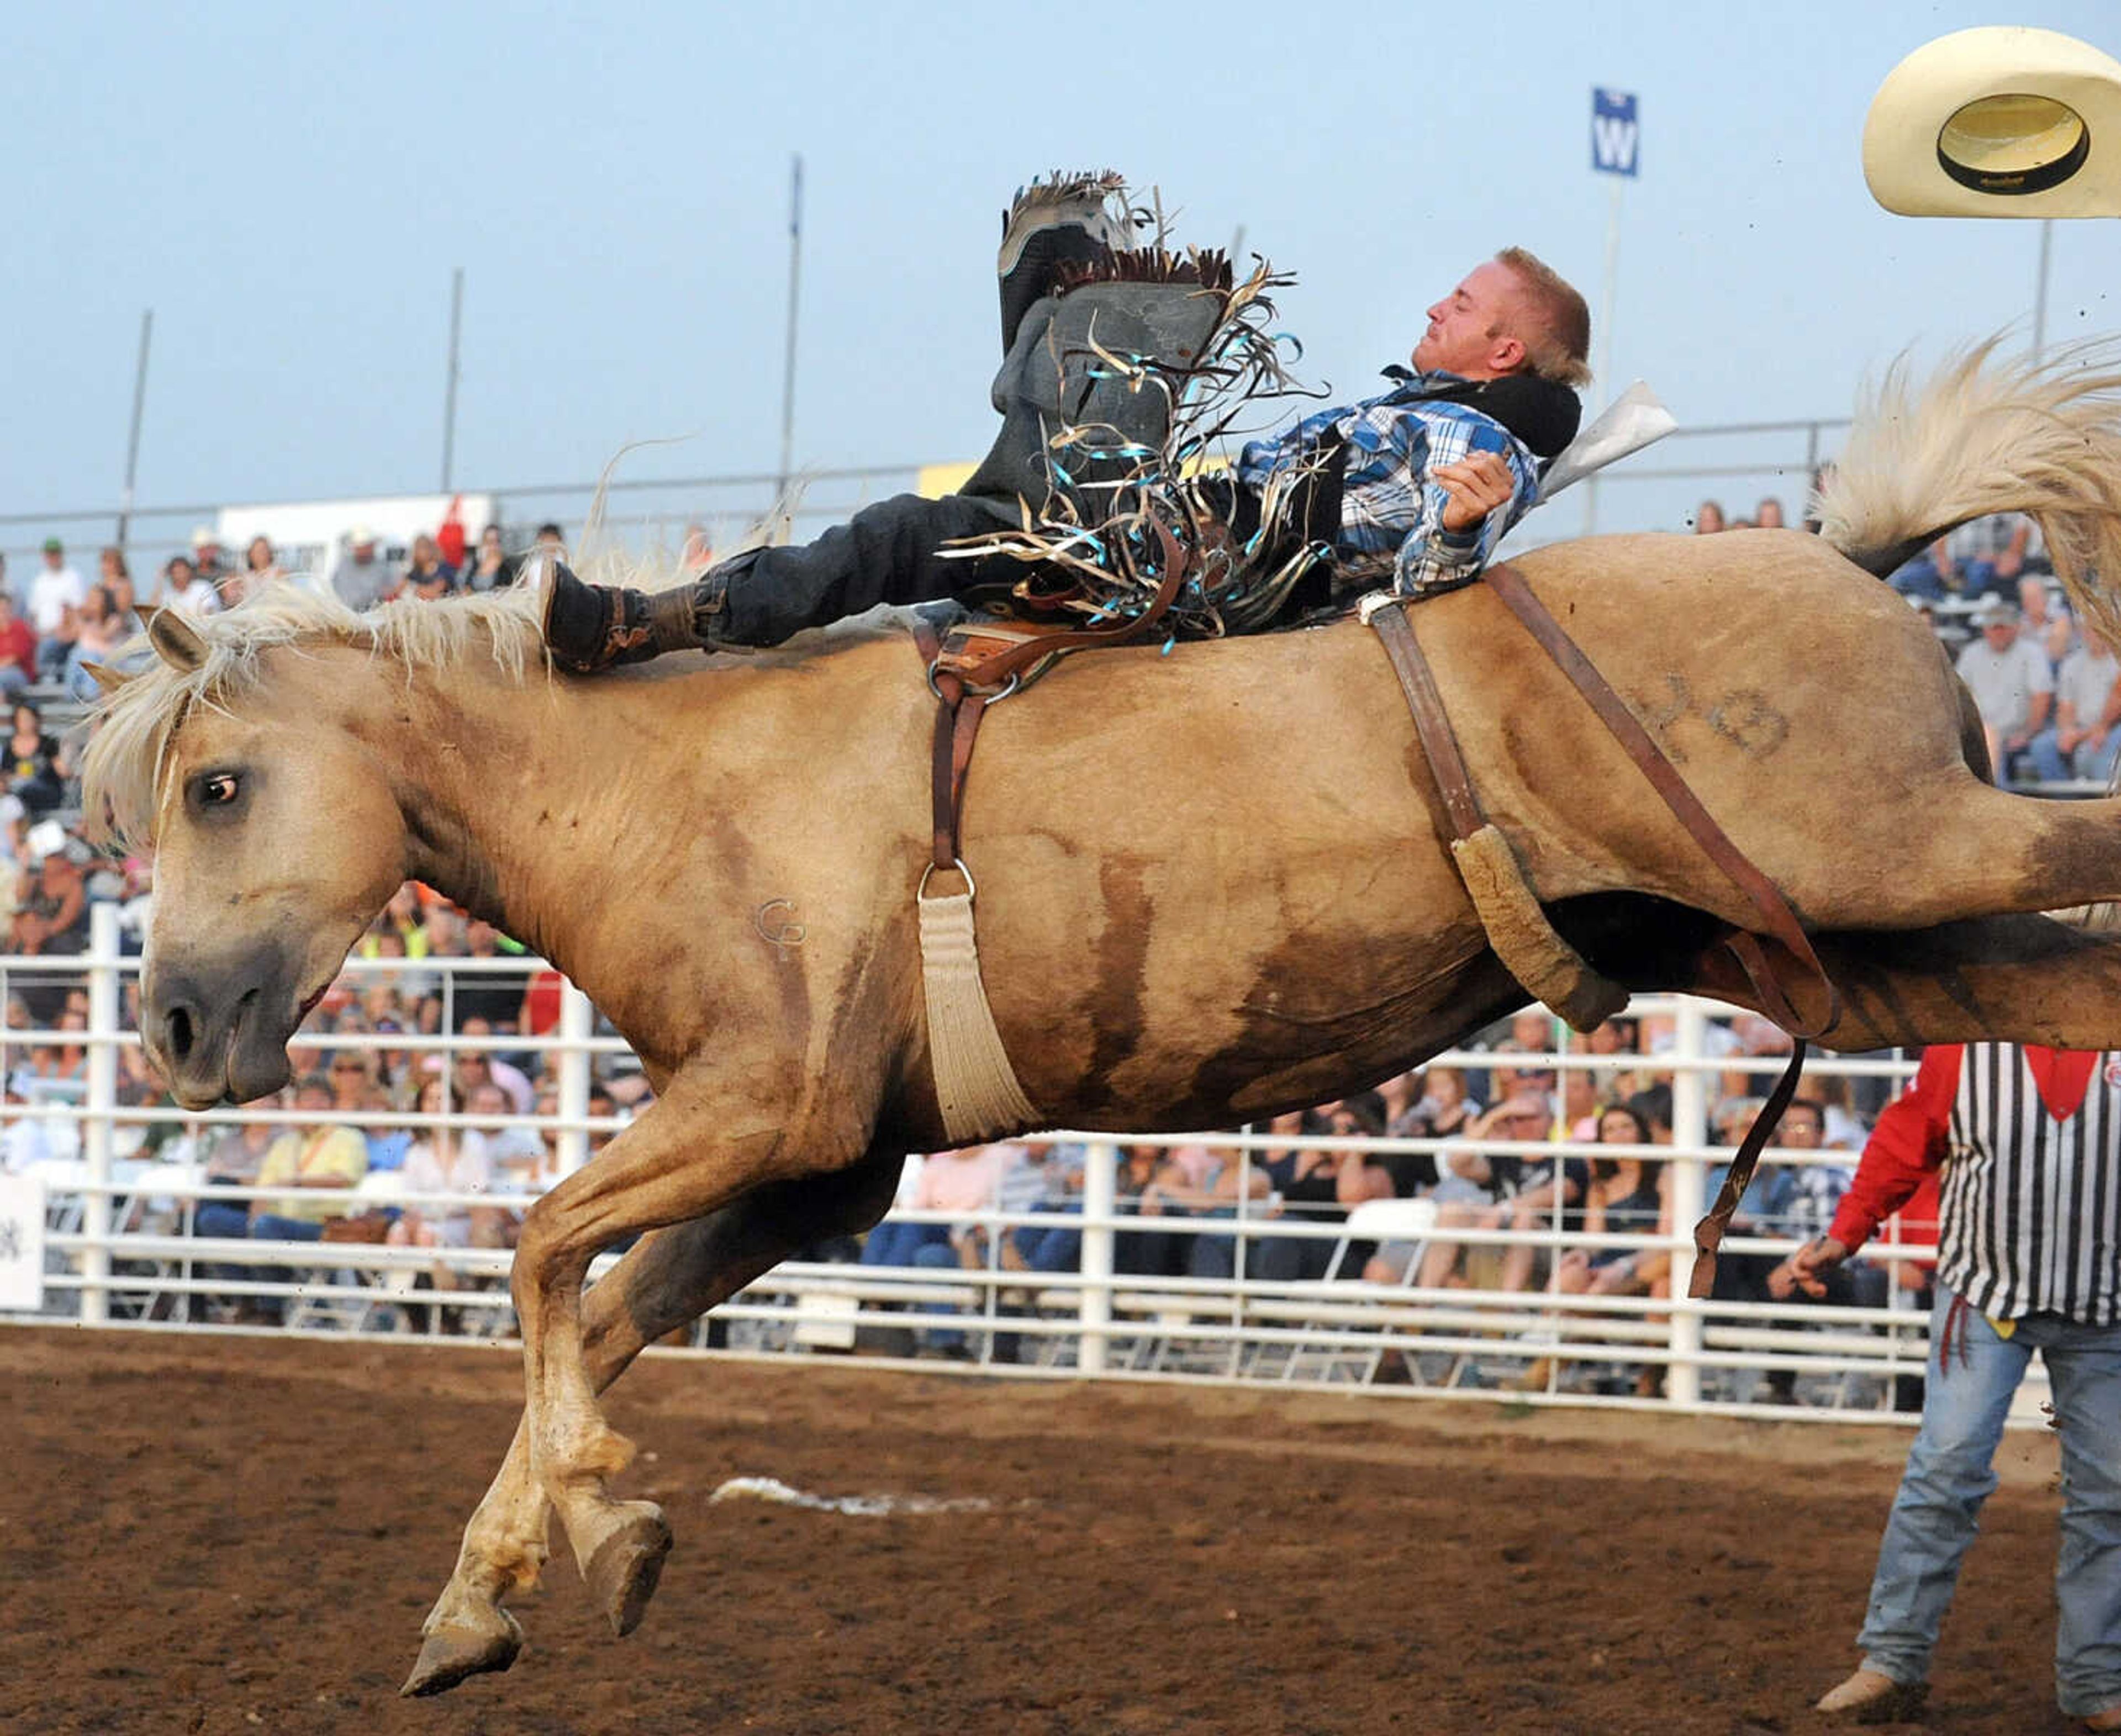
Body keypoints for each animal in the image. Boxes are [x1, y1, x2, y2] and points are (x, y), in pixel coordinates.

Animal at [87, 341, 2121, 1689]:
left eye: (216, 787)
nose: (173, 1027)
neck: (670, 780)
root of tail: (1848, 551)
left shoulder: (774, 1098)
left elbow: (532, 1255)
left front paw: (603, 1526)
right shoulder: (822, 1167)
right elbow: (596, 1310)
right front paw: (491, 1585)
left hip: (1900, 843)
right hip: (1833, 936)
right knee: (2068, 976)